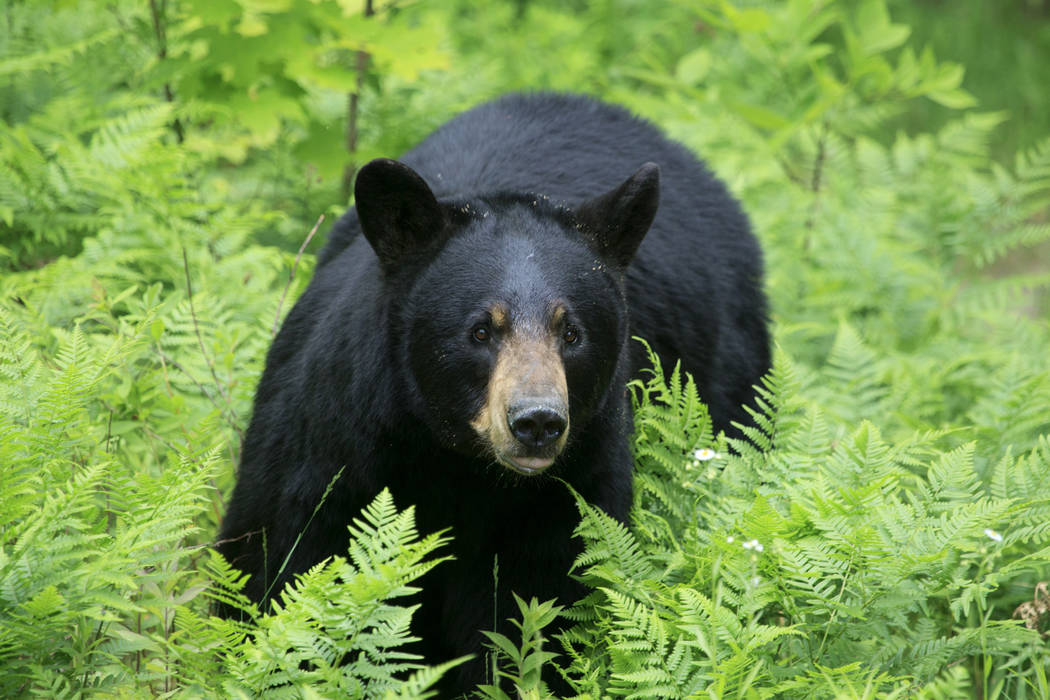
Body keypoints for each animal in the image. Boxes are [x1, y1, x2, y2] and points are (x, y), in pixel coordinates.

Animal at [215, 92, 772, 696]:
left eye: (571, 332)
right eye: (481, 330)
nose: (536, 421)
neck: (456, 465)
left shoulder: (570, 493)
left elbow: (534, 621)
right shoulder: (329, 450)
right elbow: (278, 566)